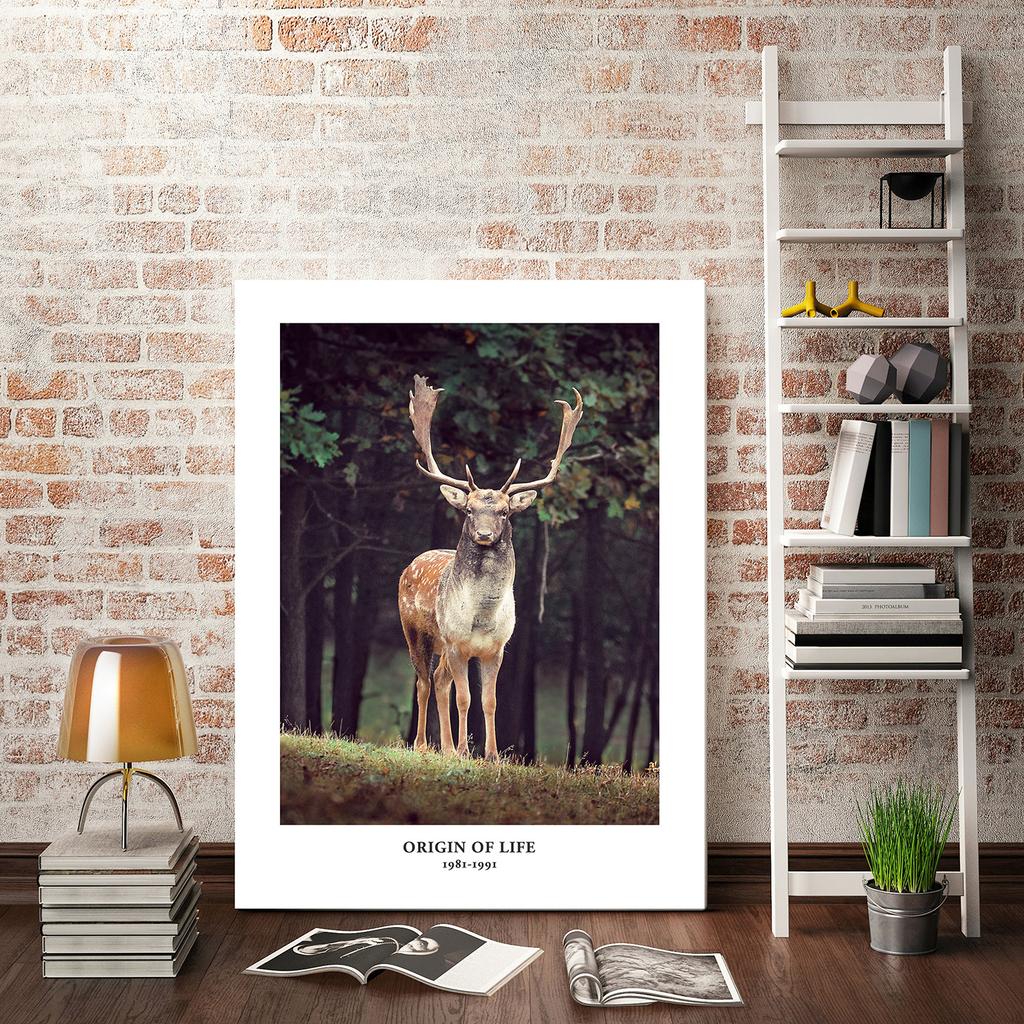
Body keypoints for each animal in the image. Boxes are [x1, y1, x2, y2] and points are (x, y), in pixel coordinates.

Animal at [398, 375, 584, 761]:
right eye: (469, 510)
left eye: (504, 512)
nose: (484, 534)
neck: (482, 617)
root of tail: (411, 565)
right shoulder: (457, 643)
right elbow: (465, 698)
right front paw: (465, 752)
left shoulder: (496, 649)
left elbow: (489, 700)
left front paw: (492, 754)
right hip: (416, 631)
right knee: (423, 681)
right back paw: (423, 745)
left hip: (441, 646)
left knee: (439, 679)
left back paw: (445, 747)